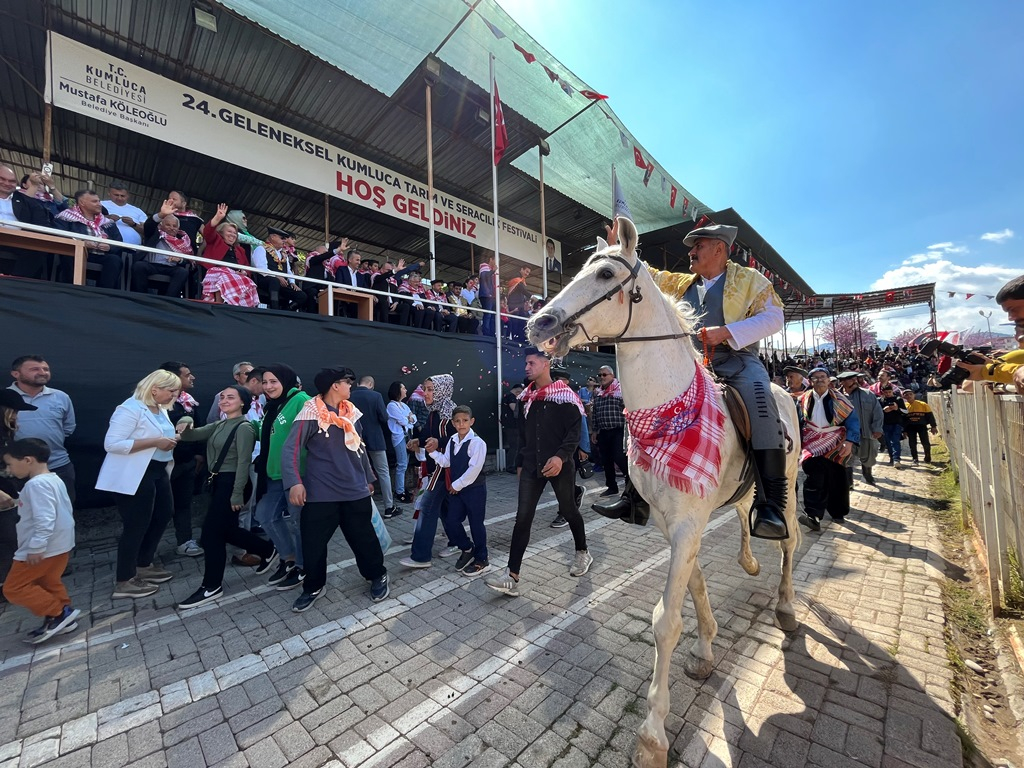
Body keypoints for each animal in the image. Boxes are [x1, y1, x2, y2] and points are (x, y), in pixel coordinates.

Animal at [528, 218, 798, 768]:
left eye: (605, 273)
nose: (538, 324)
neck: (669, 408)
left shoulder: (688, 524)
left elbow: (666, 620)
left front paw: (653, 735)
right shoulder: (667, 523)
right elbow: (693, 589)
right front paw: (705, 650)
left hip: (794, 491)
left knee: (789, 542)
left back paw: (786, 603)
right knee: (748, 519)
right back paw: (749, 562)